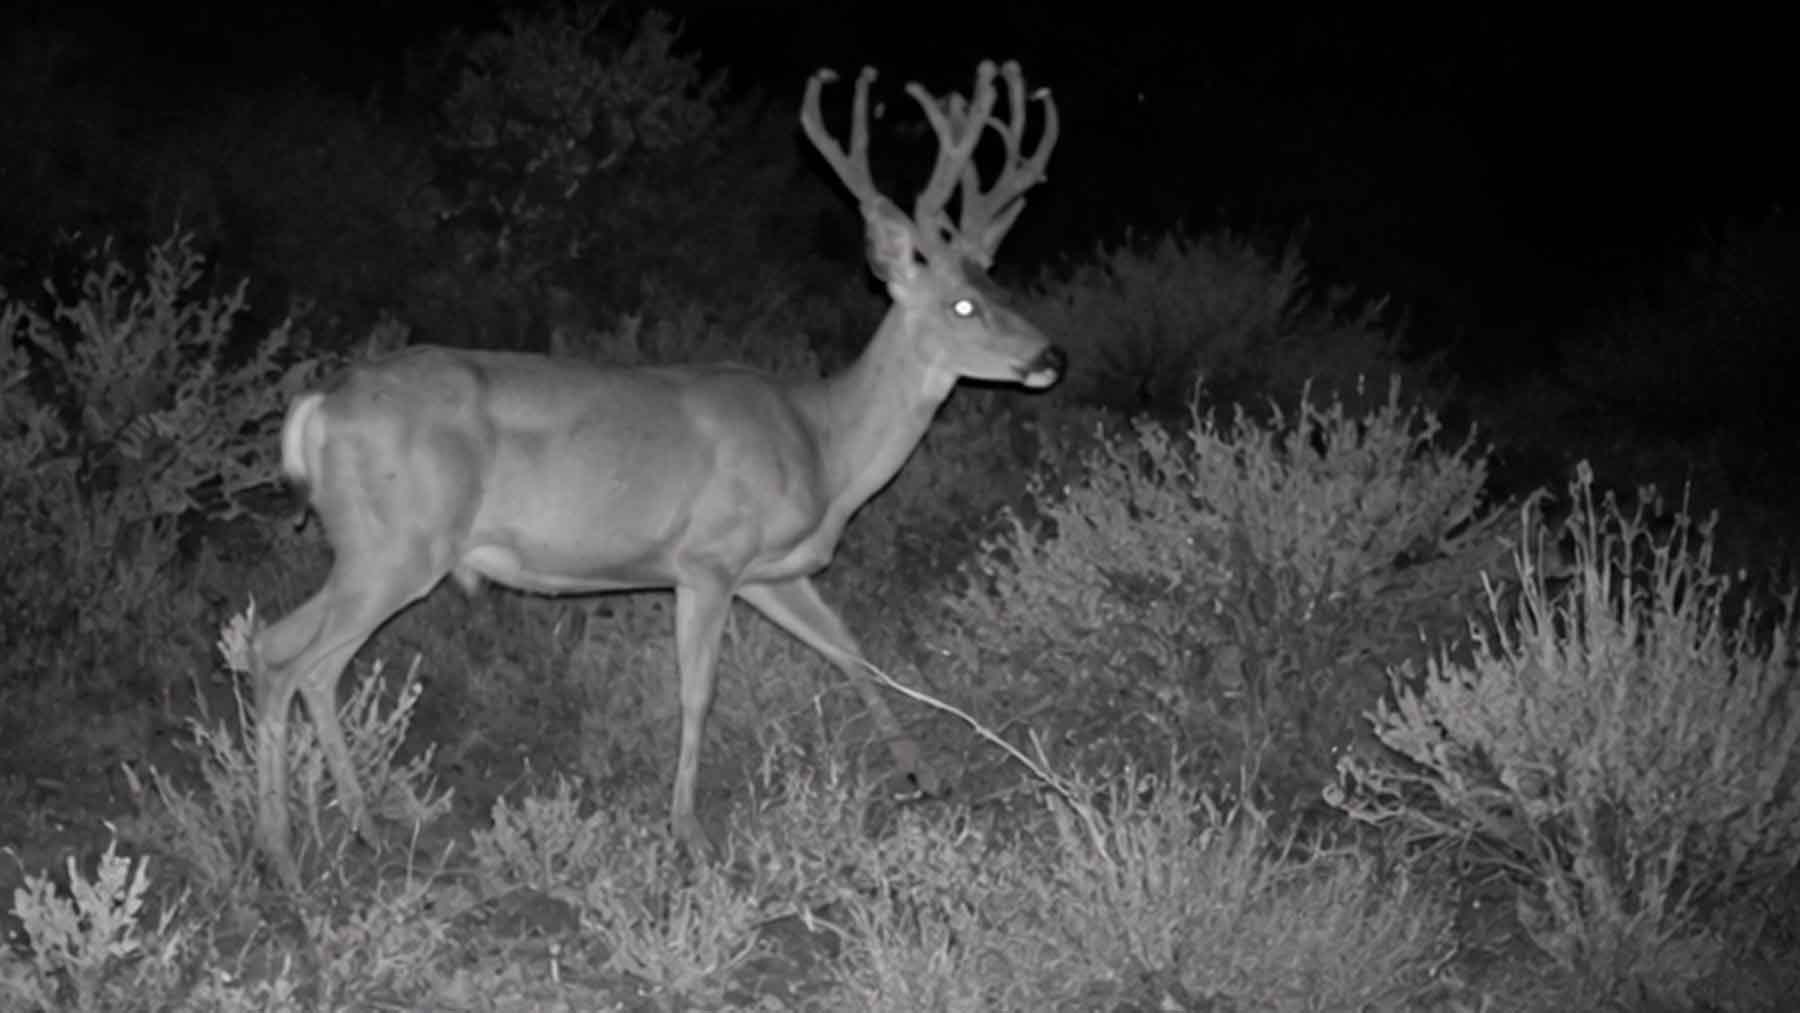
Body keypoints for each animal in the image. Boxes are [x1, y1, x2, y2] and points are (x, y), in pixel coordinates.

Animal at [250, 60, 1062, 888]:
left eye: (1001, 287)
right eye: (962, 305)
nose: (1048, 356)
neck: (823, 445)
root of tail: (318, 405)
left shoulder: (772, 572)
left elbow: (852, 650)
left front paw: (925, 773)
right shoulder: (708, 558)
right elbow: (698, 692)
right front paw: (689, 833)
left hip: (371, 549)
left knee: (292, 655)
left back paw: (362, 829)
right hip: (397, 546)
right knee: (286, 658)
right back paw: (283, 852)